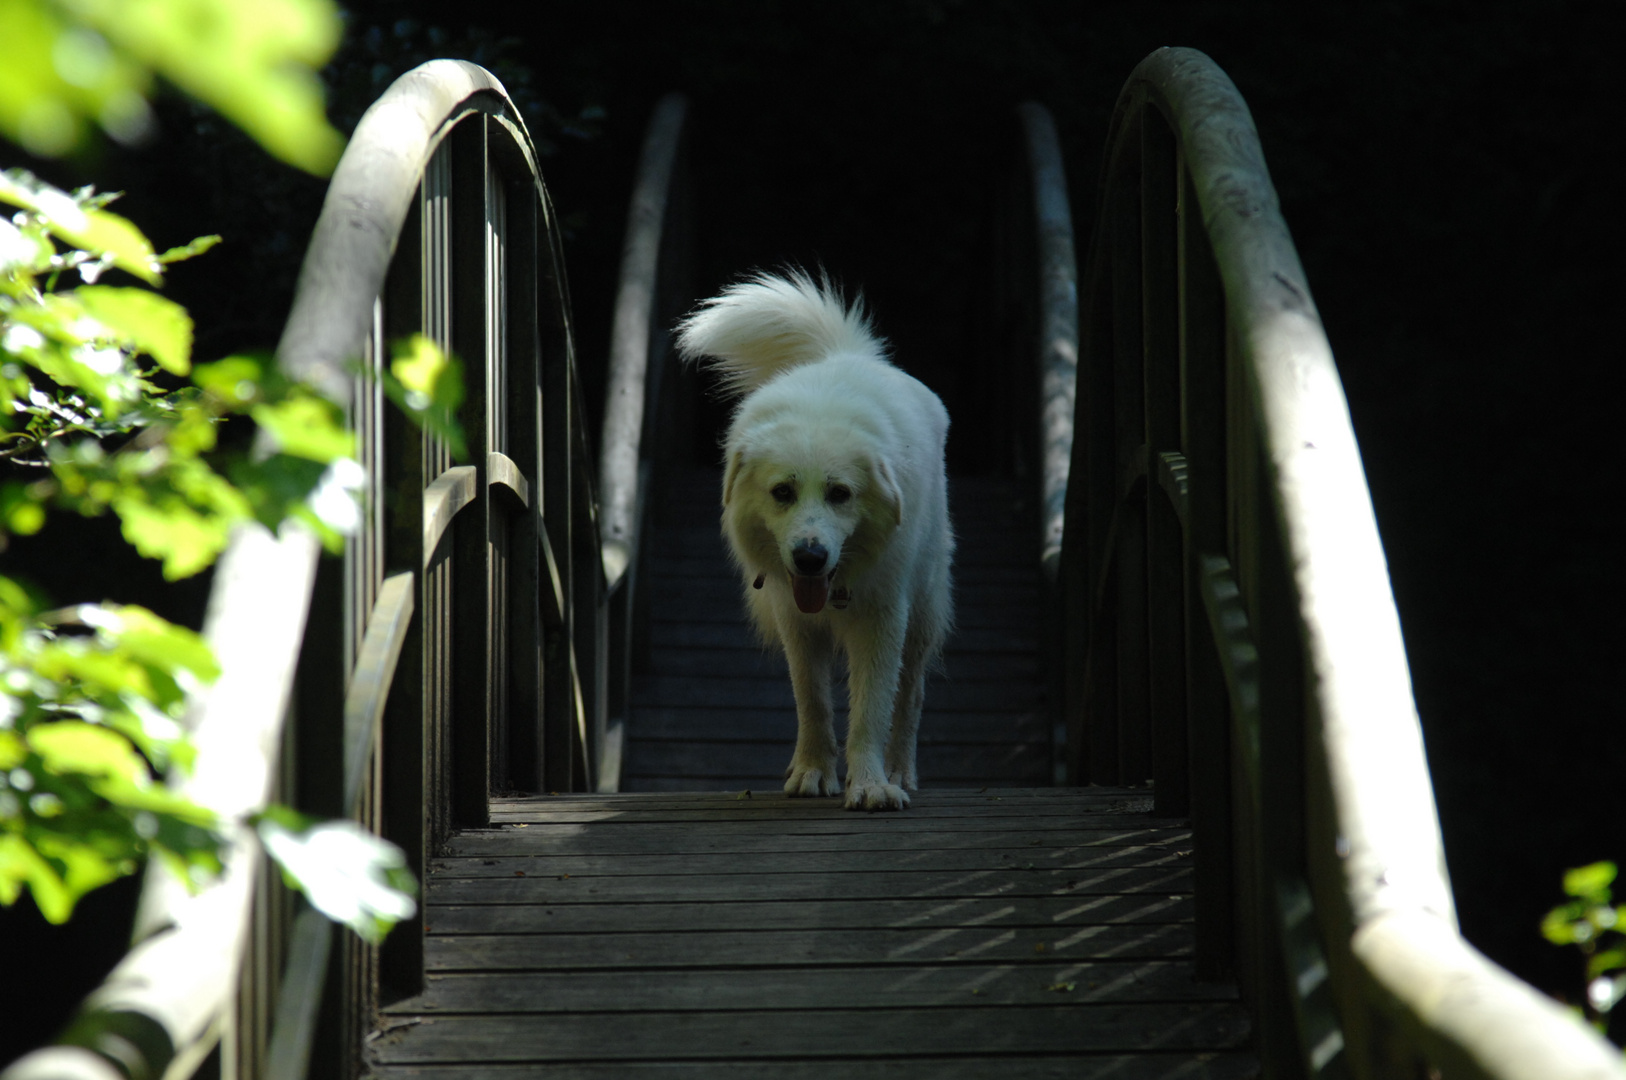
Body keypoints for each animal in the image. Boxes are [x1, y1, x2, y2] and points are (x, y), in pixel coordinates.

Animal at [676, 270, 949, 810]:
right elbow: (813, 701)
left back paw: (900, 770)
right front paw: (813, 772)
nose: (809, 558)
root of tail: (850, 354)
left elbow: (872, 709)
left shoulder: (884, 618)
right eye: (782, 492)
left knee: (911, 696)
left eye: (839, 494)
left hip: (923, 611)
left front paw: (870, 785)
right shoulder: (794, 621)